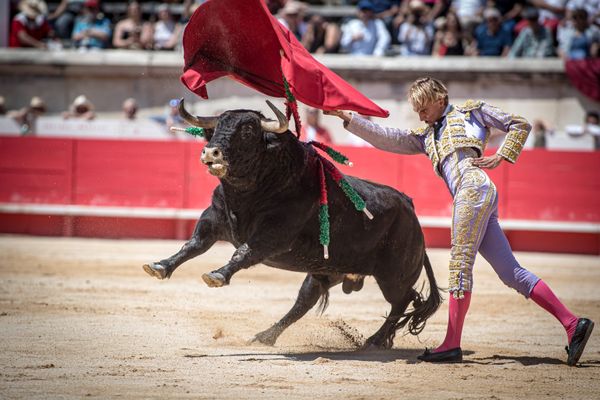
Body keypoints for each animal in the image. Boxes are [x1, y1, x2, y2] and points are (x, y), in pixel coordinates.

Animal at [143, 99, 442, 346]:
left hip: (393, 275)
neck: (247, 193)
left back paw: (375, 340)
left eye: (248, 131)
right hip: (327, 269)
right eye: (215, 128)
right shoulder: (213, 218)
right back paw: (265, 336)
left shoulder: (274, 235)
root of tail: (410, 207)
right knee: (305, 300)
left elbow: (243, 252)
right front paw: (160, 266)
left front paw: (217, 275)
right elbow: (192, 245)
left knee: (402, 301)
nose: (210, 152)